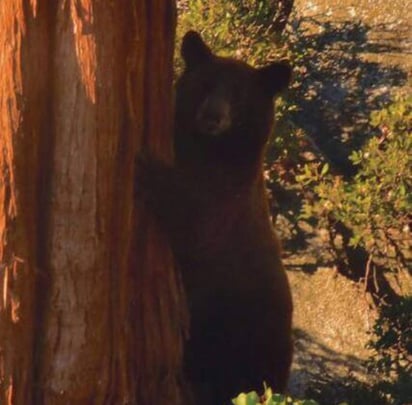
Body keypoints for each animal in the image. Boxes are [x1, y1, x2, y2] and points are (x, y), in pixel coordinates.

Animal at [137, 31, 294, 404]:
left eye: (238, 95)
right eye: (205, 85)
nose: (212, 117)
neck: (210, 151)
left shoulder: (227, 200)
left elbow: (195, 222)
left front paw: (148, 169)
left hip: (250, 335)